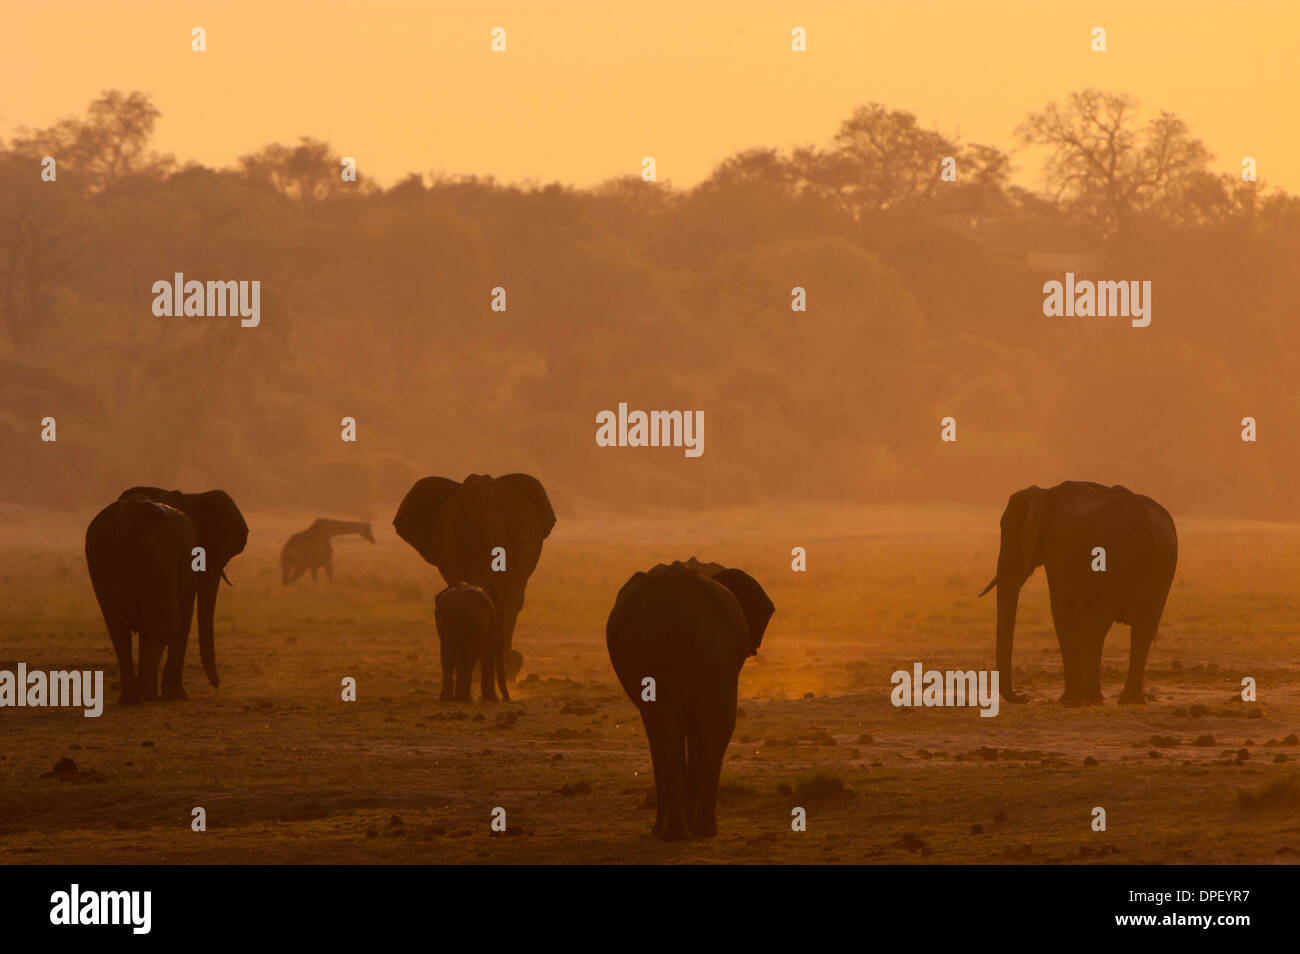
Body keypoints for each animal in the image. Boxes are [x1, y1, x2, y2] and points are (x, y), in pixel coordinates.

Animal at [87, 488, 249, 707]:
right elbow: (184, 615)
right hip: (157, 560)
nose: (217, 683)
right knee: (166, 624)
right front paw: (176, 697)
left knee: (118, 629)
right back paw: (148, 697)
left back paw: (132, 699)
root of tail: (123, 528)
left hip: (101, 560)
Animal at [977, 480, 1180, 707]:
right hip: (1163, 567)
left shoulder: (1057, 551)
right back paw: (1129, 700)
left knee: (1097, 626)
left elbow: (1061, 610)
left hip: (1109, 565)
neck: (1047, 494)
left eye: (1006, 530)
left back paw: (1092, 699)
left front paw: (1067, 700)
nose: (1024, 696)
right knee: (1143, 629)